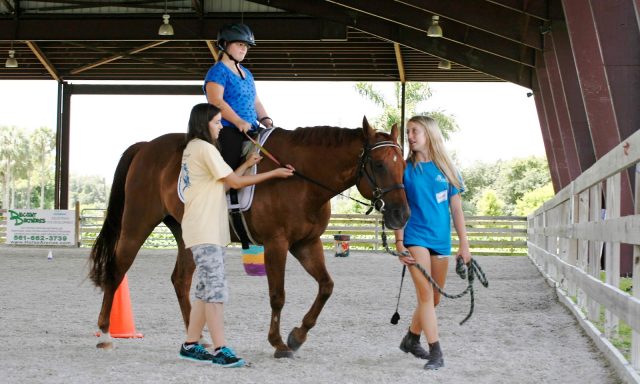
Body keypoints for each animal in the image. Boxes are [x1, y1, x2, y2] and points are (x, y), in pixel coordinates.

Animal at [89, 117, 410, 356]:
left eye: (404, 164)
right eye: (379, 164)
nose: (402, 215)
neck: (299, 177)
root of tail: (145, 147)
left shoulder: (306, 243)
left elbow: (326, 286)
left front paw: (297, 335)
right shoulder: (277, 243)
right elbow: (278, 295)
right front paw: (279, 343)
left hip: (188, 232)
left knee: (180, 279)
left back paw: (196, 337)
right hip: (136, 225)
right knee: (117, 270)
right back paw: (105, 334)